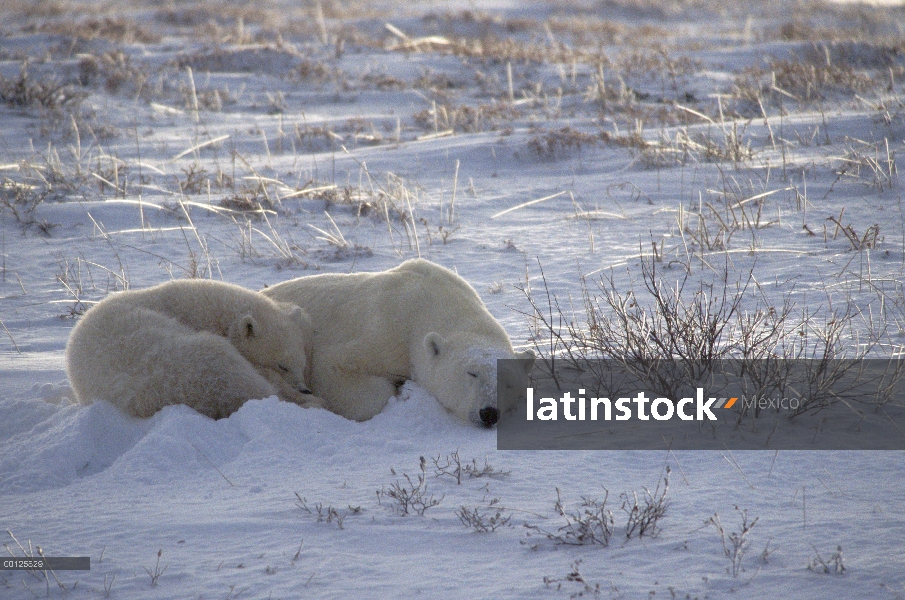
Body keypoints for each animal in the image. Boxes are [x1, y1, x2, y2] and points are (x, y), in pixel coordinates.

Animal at [260, 258, 528, 426]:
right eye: (471, 373)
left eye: (509, 383)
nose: (489, 413)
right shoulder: (382, 331)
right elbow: (335, 370)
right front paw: (399, 391)